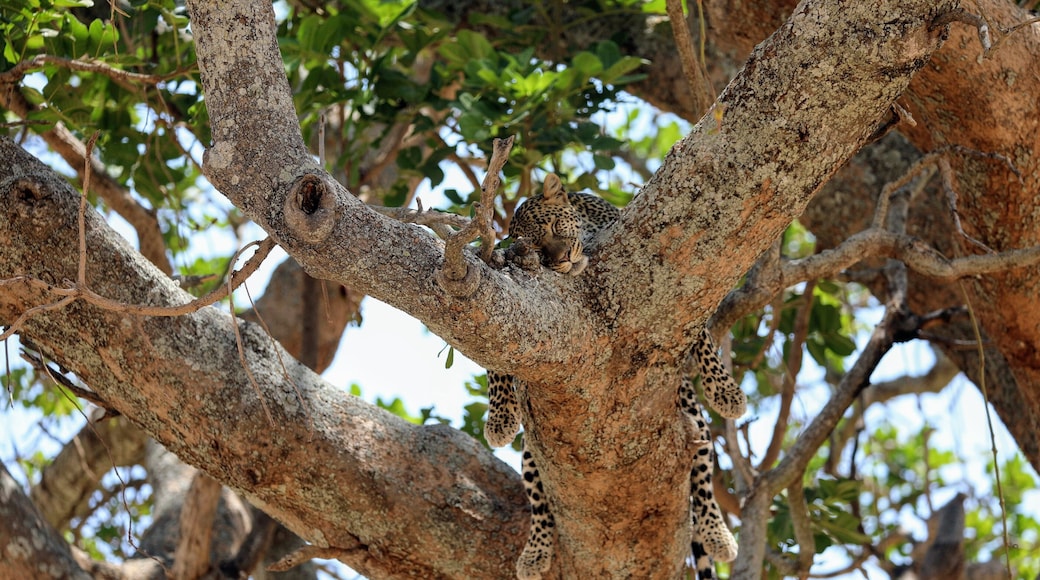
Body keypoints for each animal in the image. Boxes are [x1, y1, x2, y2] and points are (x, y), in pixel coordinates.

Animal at [485, 174, 745, 580]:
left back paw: (718, 534)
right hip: (530, 455)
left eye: (554, 227)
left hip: (695, 428)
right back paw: (535, 554)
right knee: (540, 503)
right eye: (538, 249)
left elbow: (701, 337)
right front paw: (499, 418)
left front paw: (726, 391)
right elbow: (497, 360)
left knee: (702, 482)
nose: (564, 258)